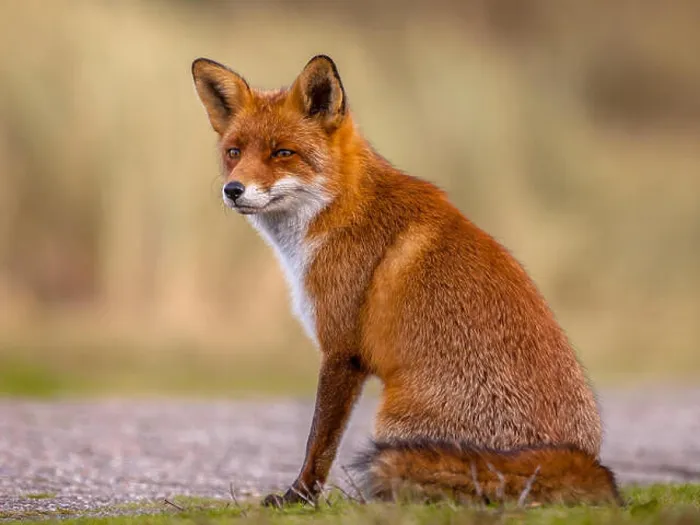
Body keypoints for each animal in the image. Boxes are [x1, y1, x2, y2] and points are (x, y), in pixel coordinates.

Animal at [191, 54, 621, 507]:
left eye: (283, 153)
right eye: (234, 152)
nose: (233, 189)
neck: (341, 210)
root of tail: (573, 458)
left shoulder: (342, 351)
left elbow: (318, 443)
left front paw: (299, 498)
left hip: (392, 422)